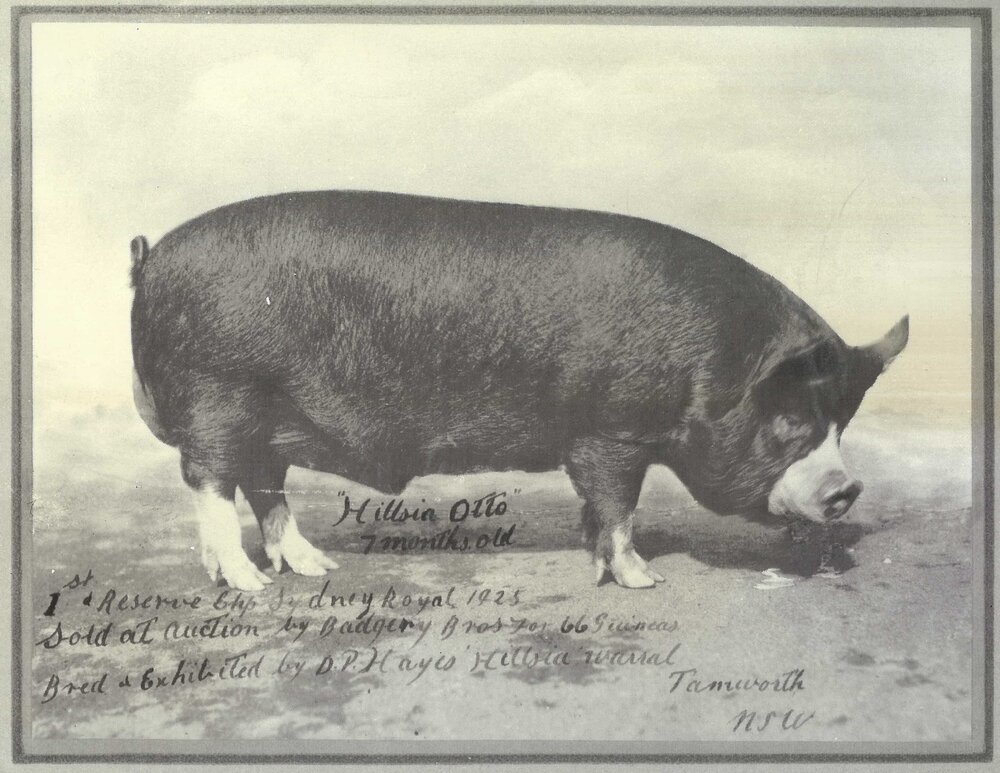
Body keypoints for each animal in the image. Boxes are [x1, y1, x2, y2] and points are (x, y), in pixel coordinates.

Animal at [130, 190, 908, 591]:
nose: (848, 489)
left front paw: (596, 559)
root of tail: (153, 256)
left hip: (264, 421)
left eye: (840, 424)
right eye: (788, 422)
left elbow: (598, 508)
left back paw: (315, 567)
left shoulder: (595, 442)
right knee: (212, 484)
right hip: (218, 398)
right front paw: (642, 579)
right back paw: (250, 583)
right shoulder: (612, 431)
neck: (712, 366)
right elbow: (619, 504)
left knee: (264, 490)